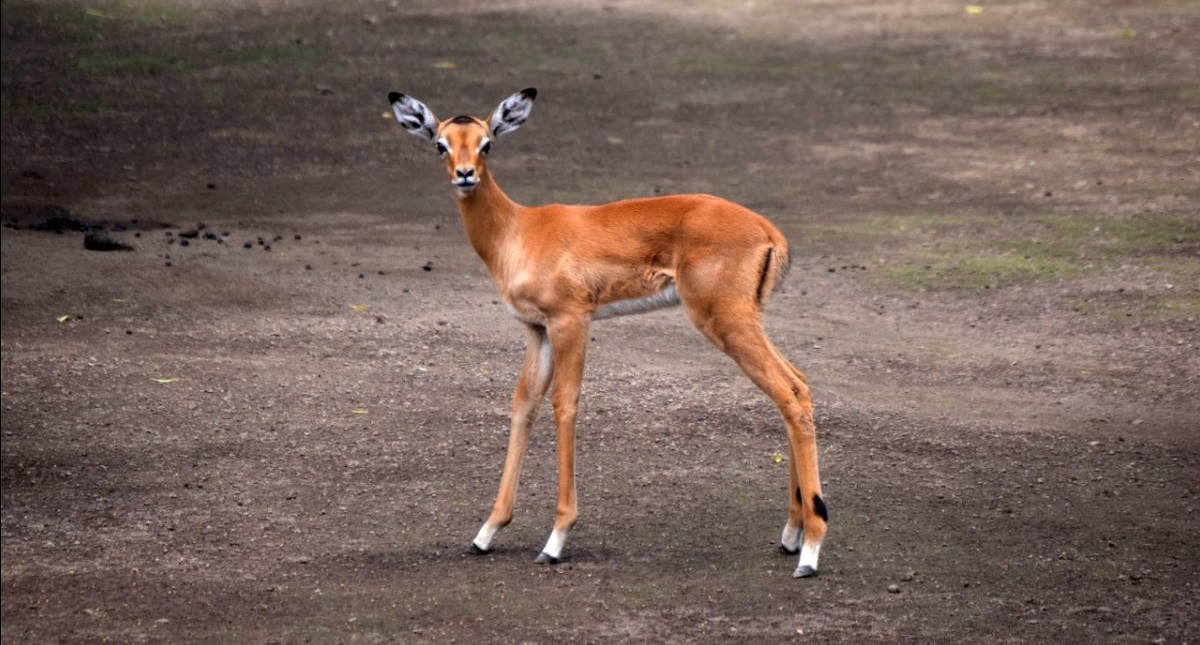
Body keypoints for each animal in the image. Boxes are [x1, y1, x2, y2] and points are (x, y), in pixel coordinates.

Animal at [388, 88, 828, 578]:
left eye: (487, 144)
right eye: (440, 144)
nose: (465, 175)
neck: (518, 232)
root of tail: (769, 231)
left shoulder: (571, 321)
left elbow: (565, 405)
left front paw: (555, 539)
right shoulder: (536, 330)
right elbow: (524, 405)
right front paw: (487, 532)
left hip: (725, 322)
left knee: (788, 394)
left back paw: (810, 551)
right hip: (744, 322)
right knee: (797, 386)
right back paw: (791, 536)